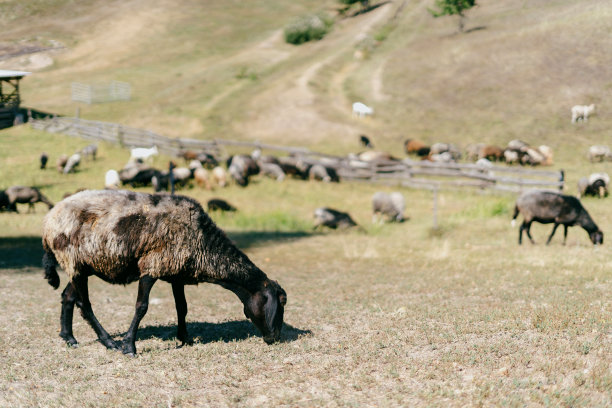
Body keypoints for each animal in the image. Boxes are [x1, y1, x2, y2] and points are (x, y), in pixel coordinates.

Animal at [43, 190, 286, 356]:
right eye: (281, 302)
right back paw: (109, 342)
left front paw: (185, 339)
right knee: (84, 304)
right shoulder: (152, 265)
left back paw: (69, 337)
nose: (275, 338)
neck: (203, 241)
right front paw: (129, 346)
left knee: (68, 296)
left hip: (82, 265)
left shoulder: (176, 272)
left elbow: (182, 307)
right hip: (72, 260)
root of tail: (48, 222)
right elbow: (142, 307)